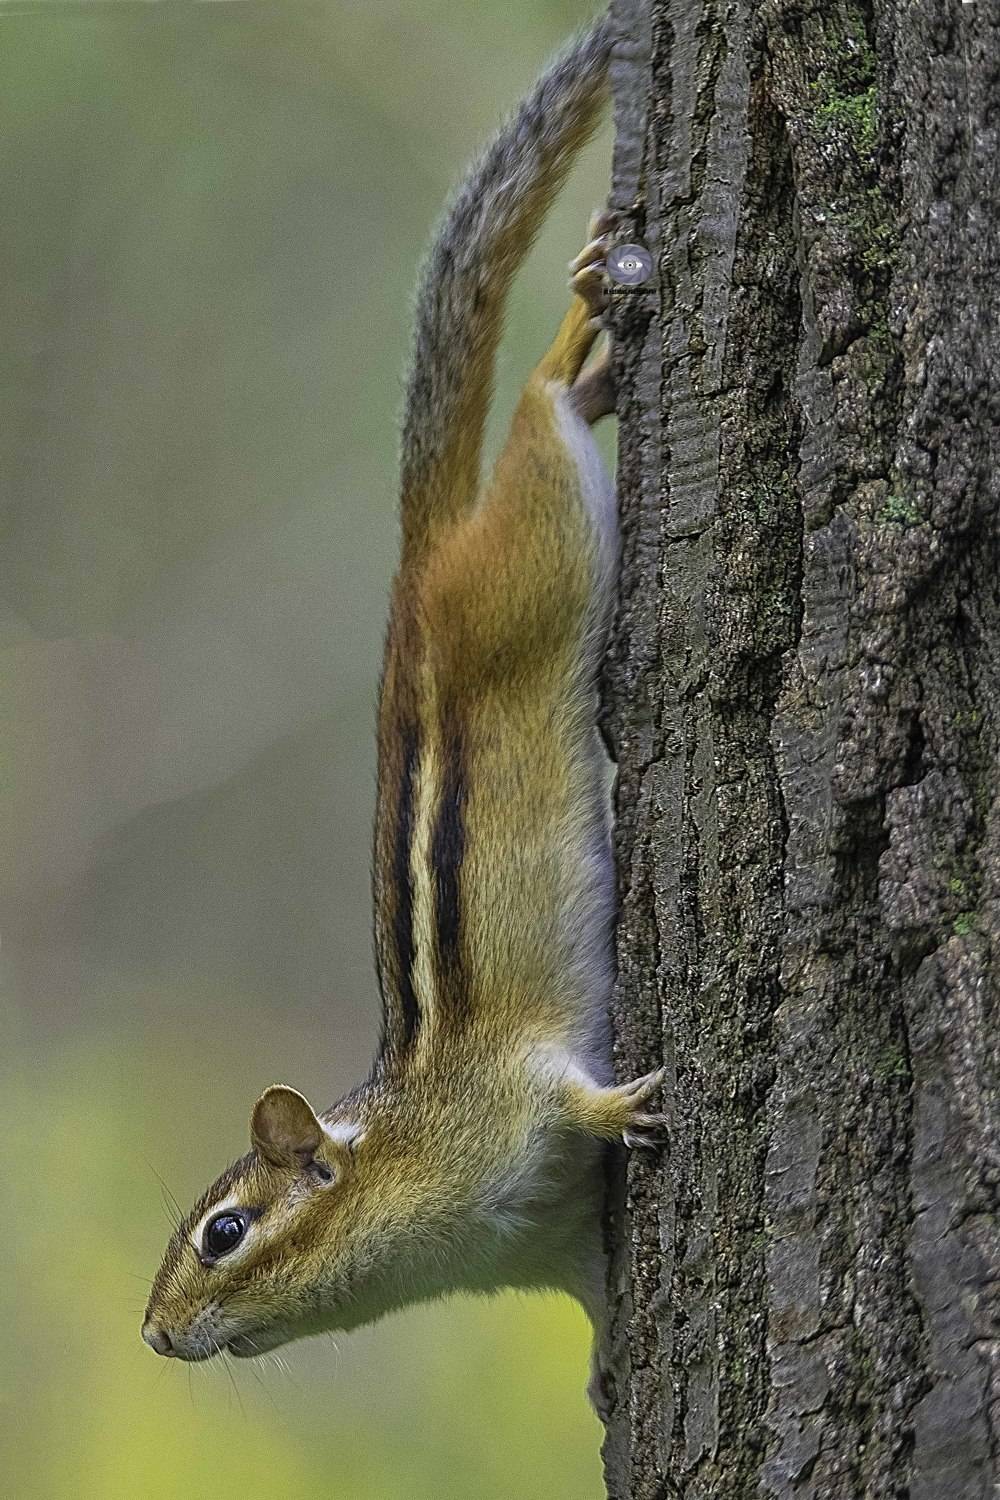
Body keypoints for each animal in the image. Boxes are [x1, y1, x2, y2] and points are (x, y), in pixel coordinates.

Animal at [142, 12, 665, 1409]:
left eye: (225, 1232)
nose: (154, 1334)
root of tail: (414, 568)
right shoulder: (552, 1244)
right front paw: (606, 1381)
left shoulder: (509, 1102)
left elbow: (566, 1095)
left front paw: (623, 1105)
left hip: (541, 548)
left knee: (534, 414)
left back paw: (581, 331)